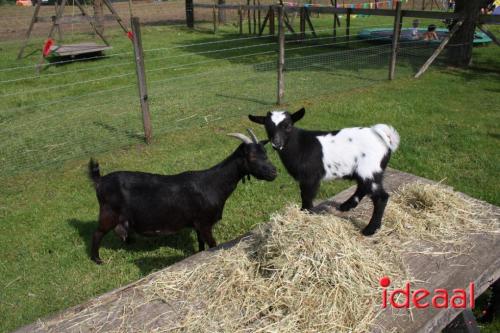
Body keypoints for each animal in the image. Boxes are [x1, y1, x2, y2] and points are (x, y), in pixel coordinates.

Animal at [89, 128, 278, 264]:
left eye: (265, 153)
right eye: (252, 156)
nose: (274, 172)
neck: (213, 184)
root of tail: (100, 180)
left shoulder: (198, 223)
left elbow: (201, 244)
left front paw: (199, 255)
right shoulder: (205, 223)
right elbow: (212, 245)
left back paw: (129, 241)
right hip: (108, 213)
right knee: (97, 234)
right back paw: (98, 260)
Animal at [248, 107, 400, 235]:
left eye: (288, 126)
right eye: (267, 127)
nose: (276, 143)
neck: (299, 145)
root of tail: (386, 138)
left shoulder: (310, 177)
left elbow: (307, 197)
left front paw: (305, 215)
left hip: (370, 168)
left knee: (381, 197)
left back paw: (370, 229)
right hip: (363, 170)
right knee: (362, 186)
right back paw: (346, 206)